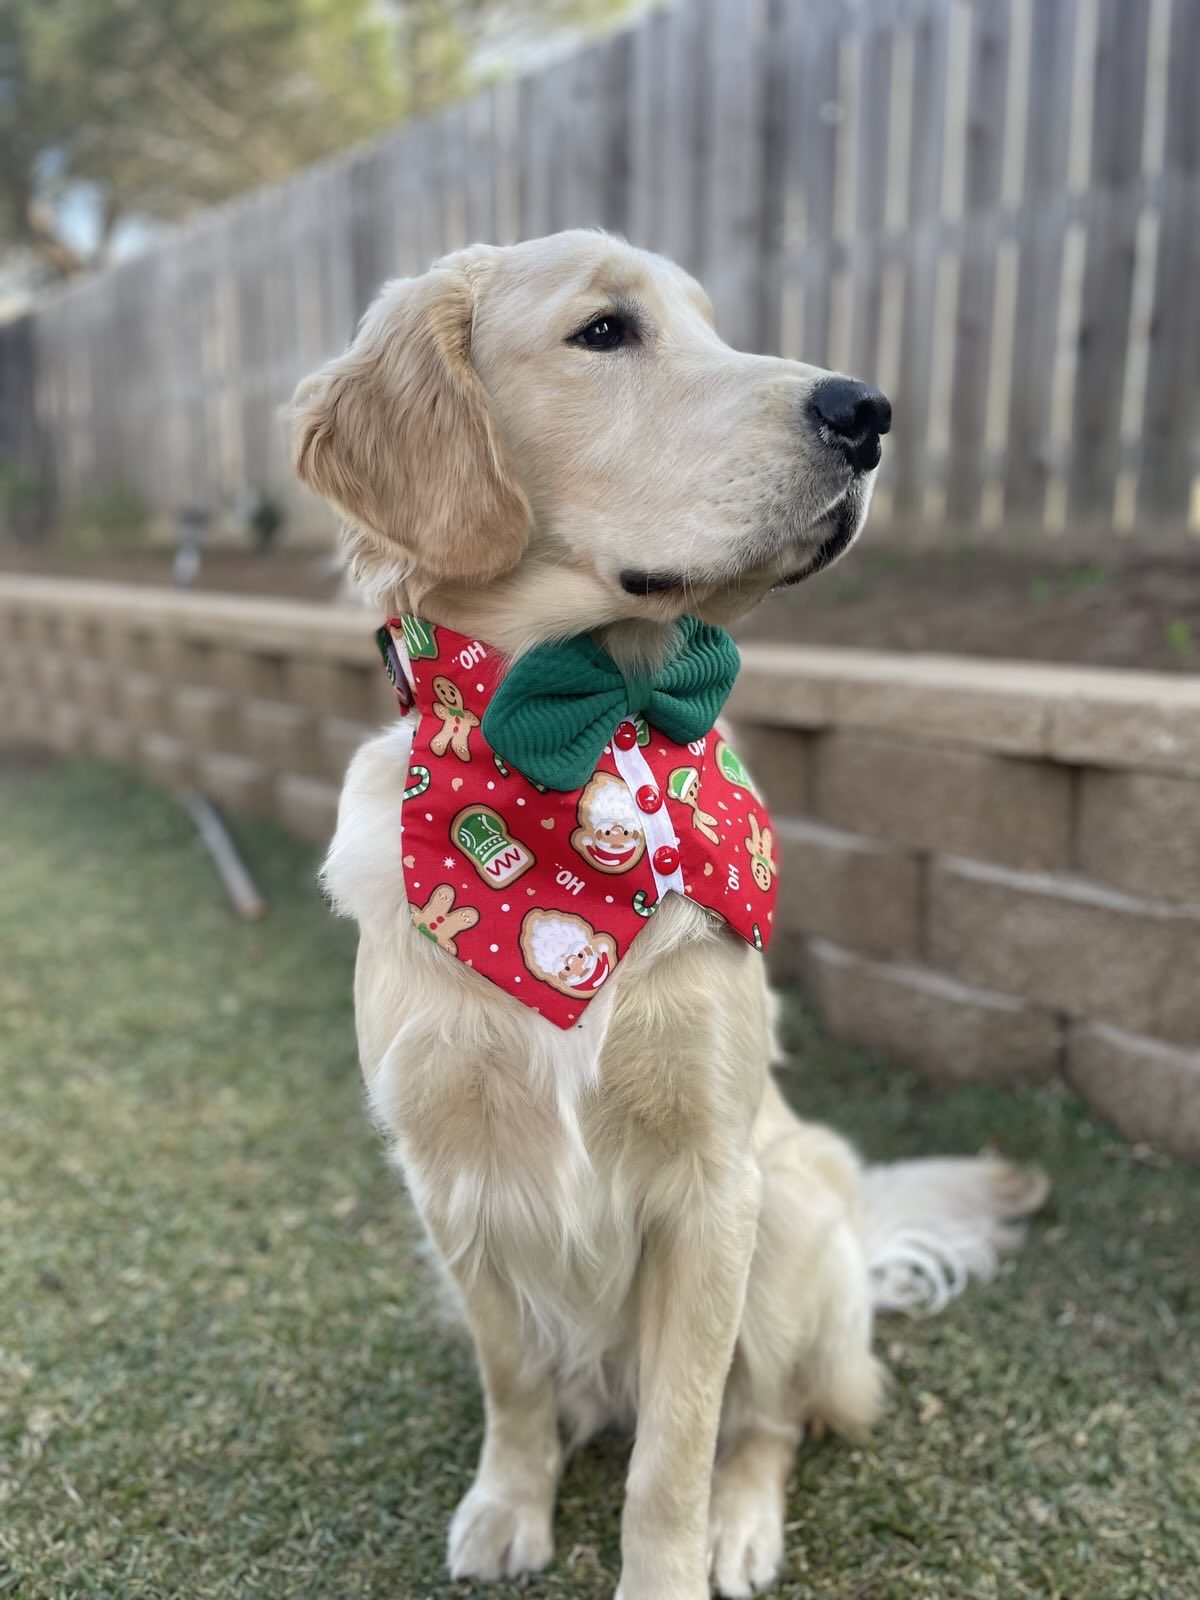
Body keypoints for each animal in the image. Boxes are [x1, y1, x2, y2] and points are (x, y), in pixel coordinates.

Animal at [294, 228, 1049, 1600]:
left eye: (715, 325)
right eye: (605, 330)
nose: (867, 412)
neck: (581, 748)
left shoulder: (712, 1186)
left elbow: (680, 1447)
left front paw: (671, 1565)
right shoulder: (451, 1178)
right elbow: (511, 1383)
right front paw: (508, 1506)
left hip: (796, 1209)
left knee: (770, 1424)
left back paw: (743, 1529)